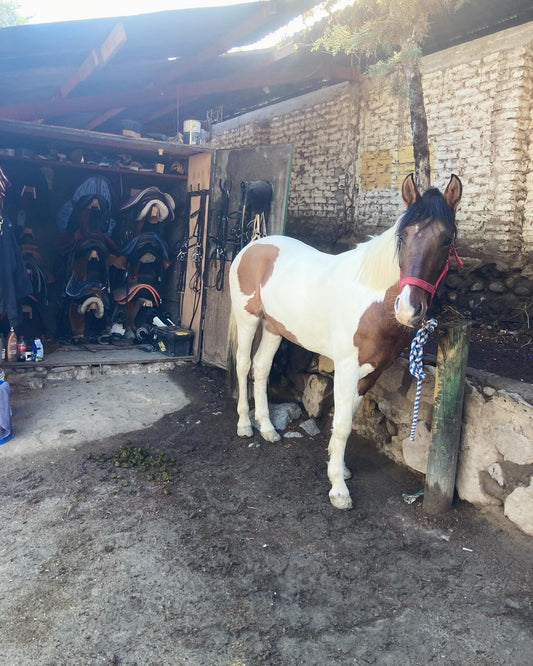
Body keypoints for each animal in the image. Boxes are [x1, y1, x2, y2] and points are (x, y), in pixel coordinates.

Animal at [228, 173, 462, 509]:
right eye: (402, 237)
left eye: (446, 240)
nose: (408, 309)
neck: (372, 298)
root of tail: (254, 245)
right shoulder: (347, 368)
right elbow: (340, 424)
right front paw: (338, 489)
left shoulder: (372, 372)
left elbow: (348, 418)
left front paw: (339, 468)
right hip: (248, 319)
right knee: (244, 365)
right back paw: (246, 426)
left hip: (274, 327)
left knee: (260, 368)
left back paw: (268, 429)